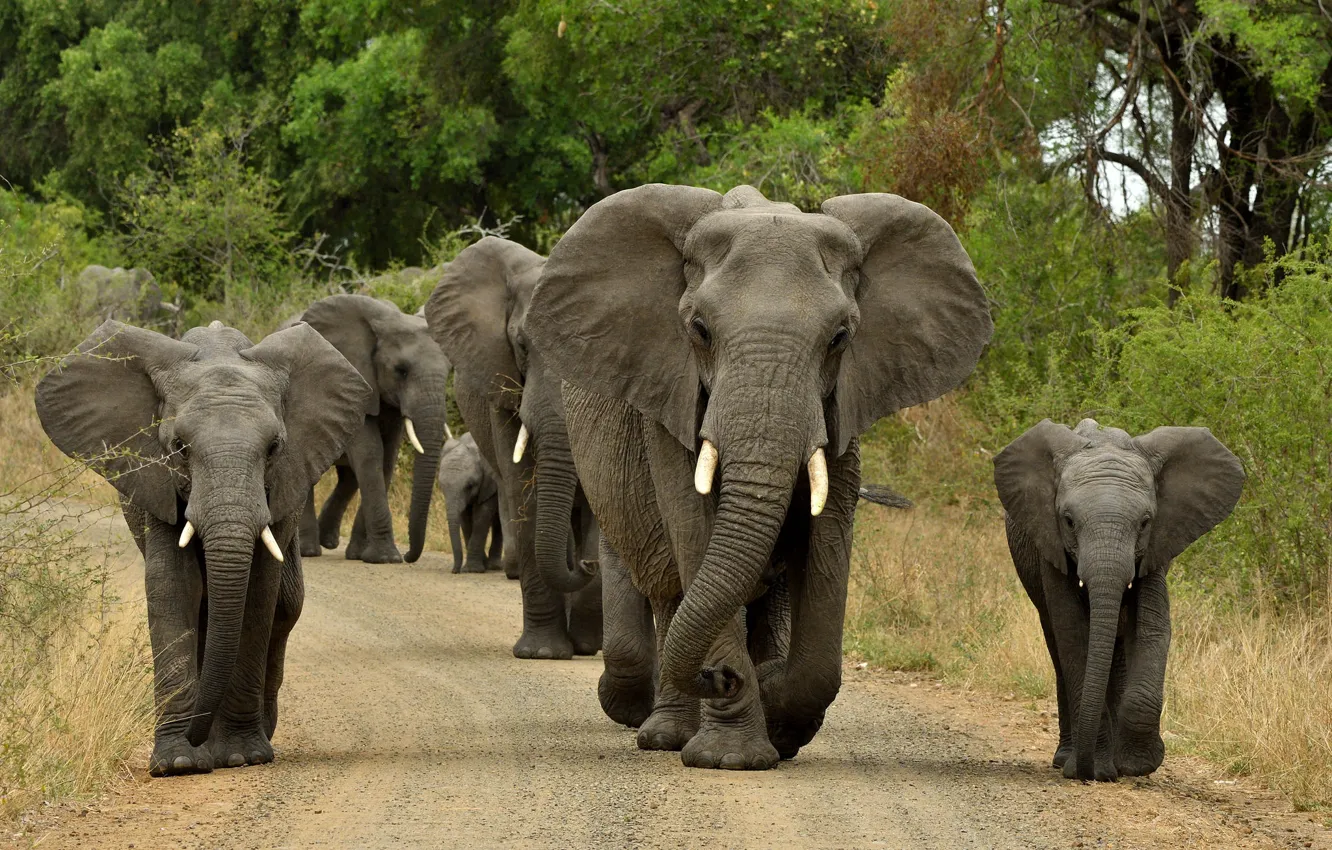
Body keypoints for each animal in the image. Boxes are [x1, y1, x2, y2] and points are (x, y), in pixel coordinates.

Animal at [35, 319, 370, 776]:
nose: (197, 735)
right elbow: (175, 587)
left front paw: (241, 756)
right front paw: (178, 763)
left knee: (286, 604)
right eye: (179, 447)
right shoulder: (155, 480)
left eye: (274, 449)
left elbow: (257, 595)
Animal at [297, 294, 453, 563]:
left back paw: (328, 541)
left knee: (348, 477)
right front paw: (386, 558)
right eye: (401, 371)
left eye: (449, 370)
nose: (409, 556)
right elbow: (370, 455)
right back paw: (308, 551)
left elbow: (386, 459)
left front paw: (363, 555)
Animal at [436, 432, 503, 573]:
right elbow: (465, 520)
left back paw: (495, 566)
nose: (454, 571)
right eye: (442, 486)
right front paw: (477, 566)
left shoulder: (490, 483)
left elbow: (481, 517)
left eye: (470, 486)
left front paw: (473, 570)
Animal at [525, 183, 993, 769]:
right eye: (699, 331)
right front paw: (730, 756)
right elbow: (694, 527)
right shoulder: (670, 398)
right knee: (670, 587)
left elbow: (826, 546)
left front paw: (778, 713)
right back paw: (670, 735)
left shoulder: (842, 406)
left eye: (841, 338)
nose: (720, 676)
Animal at [993, 418, 1244, 781]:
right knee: (1058, 646)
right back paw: (1068, 758)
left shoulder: (1157, 546)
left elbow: (1151, 628)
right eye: (1068, 521)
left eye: (1145, 523)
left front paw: (1137, 765)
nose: (1084, 773)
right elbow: (1073, 635)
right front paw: (1094, 769)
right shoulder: (1050, 546)